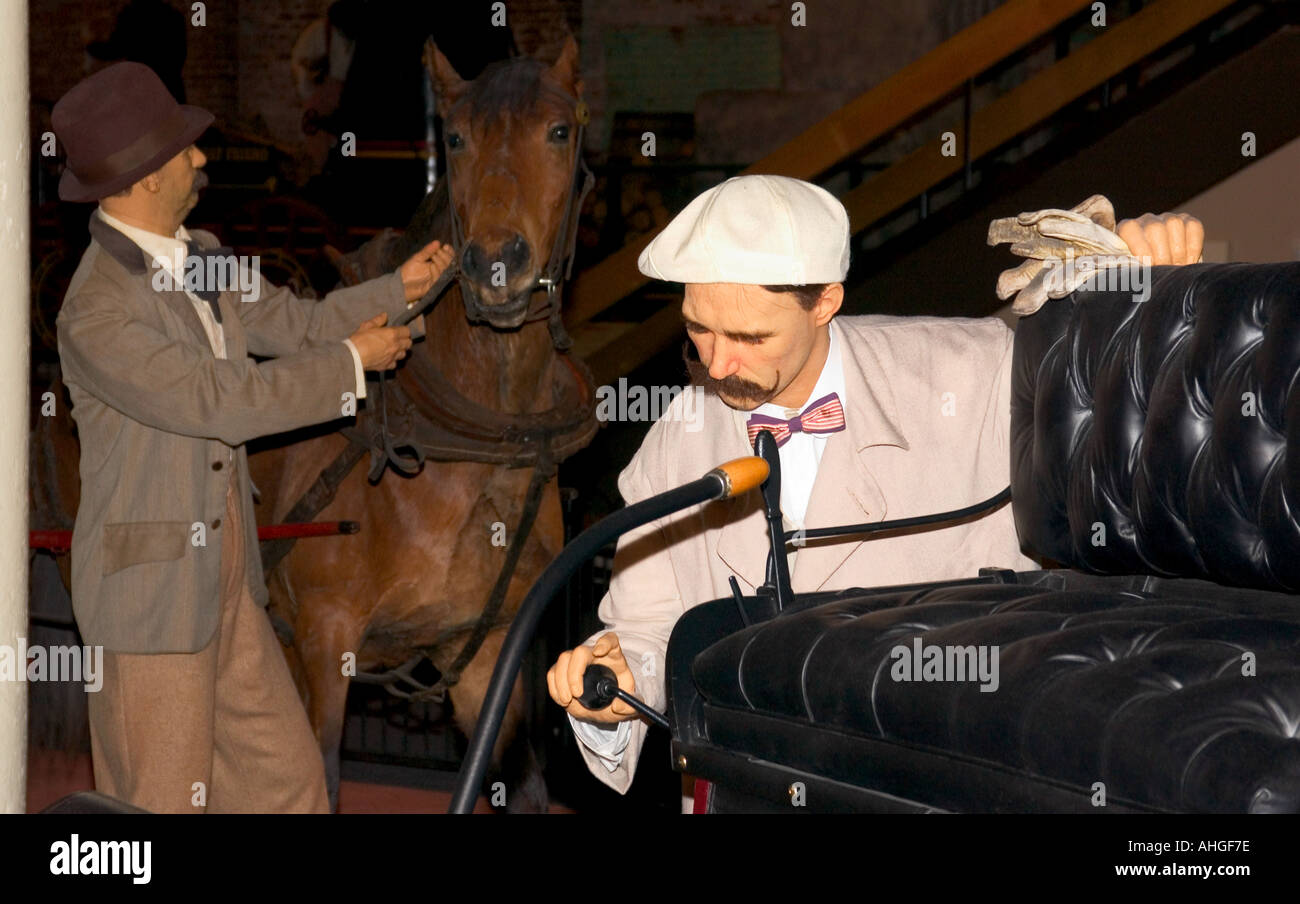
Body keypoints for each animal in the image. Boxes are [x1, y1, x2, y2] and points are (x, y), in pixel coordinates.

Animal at [245, 37, 595, 811]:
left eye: (559, 132)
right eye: (455, 138)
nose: (495, 262)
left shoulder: (482, 649)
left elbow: (514, 779)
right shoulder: (326, 638)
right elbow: (319, 776)